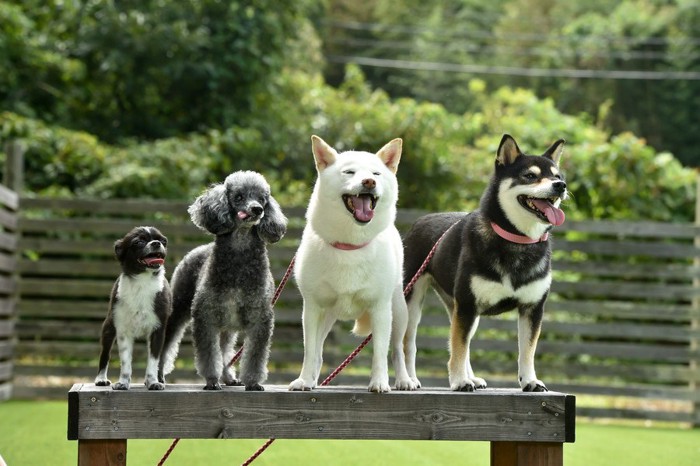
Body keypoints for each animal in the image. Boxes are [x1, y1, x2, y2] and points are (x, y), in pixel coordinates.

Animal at [94, 226, 172, 390]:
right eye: (138, 242)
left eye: (162, 241)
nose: (156, 243)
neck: (142, 282)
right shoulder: (123, 332)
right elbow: (125, 363)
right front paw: (123, 383)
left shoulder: (158, 332)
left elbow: (153, 361)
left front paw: (153, 382)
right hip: (108, 328)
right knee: (105, 354)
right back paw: (101, 379)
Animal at [159, 170, 288, 390]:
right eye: (239, 197)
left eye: (263, 199)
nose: (257, 209)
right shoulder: (206, 317)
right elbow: (209, 355)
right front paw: (212, 380)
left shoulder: (259, 319)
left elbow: (255, 356)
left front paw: (253, 382)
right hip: (178, 309)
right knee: (166, 344)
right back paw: (157, 376)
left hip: (228, 327)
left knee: (226, 351)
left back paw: (228, 377)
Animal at [288, 136, 418, 394]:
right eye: (349, 172)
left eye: (376, 174)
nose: (368, 181)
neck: (350, 245)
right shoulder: (312, 308)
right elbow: (309, 351)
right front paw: (304, 380)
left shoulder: (380, 309)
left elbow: (380, 352)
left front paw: (379, 382)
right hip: (326, 316)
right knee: (318, 352)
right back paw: (313, 379)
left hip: (399, 311)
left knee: (398, 349)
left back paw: (404, 380)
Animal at [402, 135, 568, 394]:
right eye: (530, 176)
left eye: (557, 176)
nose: (561, 186)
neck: (517, 240)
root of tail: (419, 221)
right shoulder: (468, 304)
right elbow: (458, 348)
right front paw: (459, 381)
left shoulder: (532, 308)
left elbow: (527, 352)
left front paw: (530, 380)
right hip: (412, 301)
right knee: (406, 344)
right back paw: (406, 380)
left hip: (460, 308)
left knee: (466, 342)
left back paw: (473, 378)